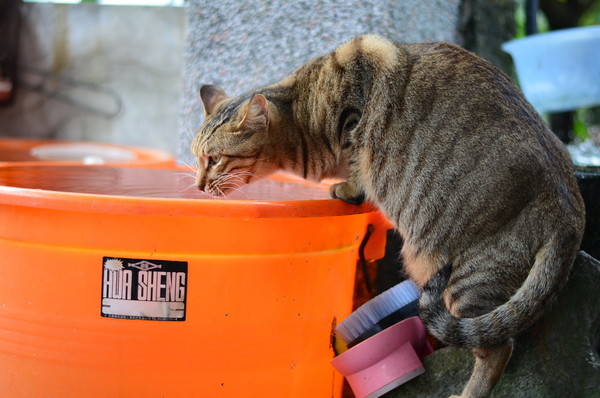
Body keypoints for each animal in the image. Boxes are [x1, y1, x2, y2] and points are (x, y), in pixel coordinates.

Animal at [190, 35, 584, 398]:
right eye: (196, 157)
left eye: (215, 159)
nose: (197, 185)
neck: (301, 111)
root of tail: (570, 207)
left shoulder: (357, 94)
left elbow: (357, 162)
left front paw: (348, 187)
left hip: (467, 275)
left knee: (496, 347)